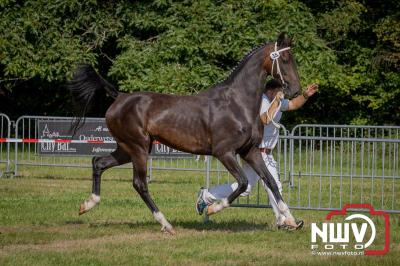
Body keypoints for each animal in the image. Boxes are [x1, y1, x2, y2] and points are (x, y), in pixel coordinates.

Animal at [69, 32, 300, 233]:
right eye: (285, 59)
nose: (296, 90)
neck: (237, 103)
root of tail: (119, 97)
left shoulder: (250, 151)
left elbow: (271, 182)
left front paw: (290, 220)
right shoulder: (224, 152)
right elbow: (243, 183)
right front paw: (212, 208)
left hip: (127, 149)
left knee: (98, 162)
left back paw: (87, 205)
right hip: (138, 148)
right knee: (139, 184)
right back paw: (166, 225)